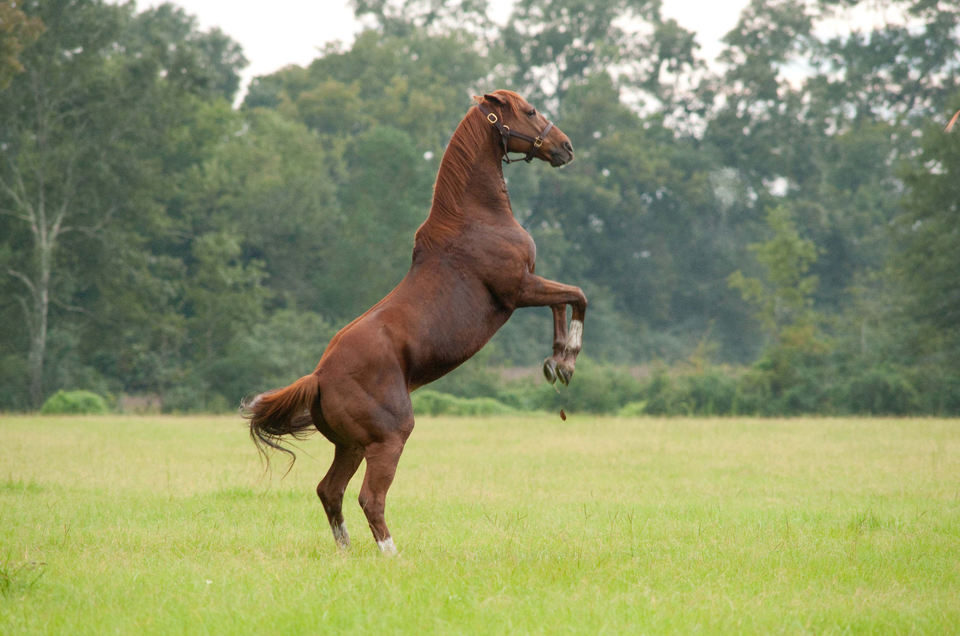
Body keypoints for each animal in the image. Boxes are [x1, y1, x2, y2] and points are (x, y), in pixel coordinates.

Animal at [242, 89, 584, 556]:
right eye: (529, 111)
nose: (565, 147)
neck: (476, 217)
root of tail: (319, 377)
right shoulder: (519, 289)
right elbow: (576, 297)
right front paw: (567, 358)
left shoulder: (528, 287)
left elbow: (562, 305)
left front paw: (557, 364)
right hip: (389, 439)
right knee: (370, 497)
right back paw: (392, 556)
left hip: (351, 445)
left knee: (330, 491)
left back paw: (347, 553)